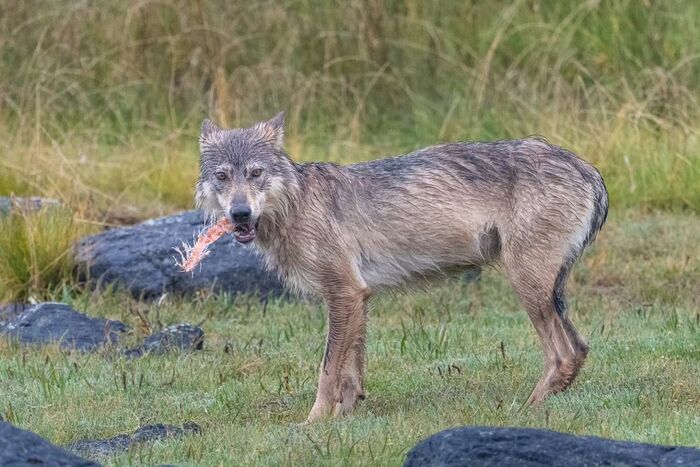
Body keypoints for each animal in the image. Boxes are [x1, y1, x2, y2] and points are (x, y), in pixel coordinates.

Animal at [196, 111, 608, 422]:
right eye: (222, 176)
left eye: (255, 173)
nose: (239, 213)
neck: (295, 206)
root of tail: (588, 169)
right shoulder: (357, 296)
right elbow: (351, 374)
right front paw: (344, 419)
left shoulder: (343, 294)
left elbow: (327, 372)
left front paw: (312, 423)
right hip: (549, 292)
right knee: (580, 348)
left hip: (528, 288)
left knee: (563, 354)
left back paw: (525, 410)